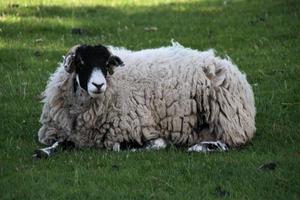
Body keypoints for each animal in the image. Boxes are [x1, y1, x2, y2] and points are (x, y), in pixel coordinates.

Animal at [34, 42, 255, 158]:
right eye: (80, 62)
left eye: (106, 63)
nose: (98, 85)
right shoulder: (64, 132)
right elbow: (57, 143)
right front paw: (44, 151)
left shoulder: (138, 126)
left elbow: (129, 145)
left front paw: (153, 144)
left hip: (228, 119)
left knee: (231, 142)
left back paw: (200, 147)